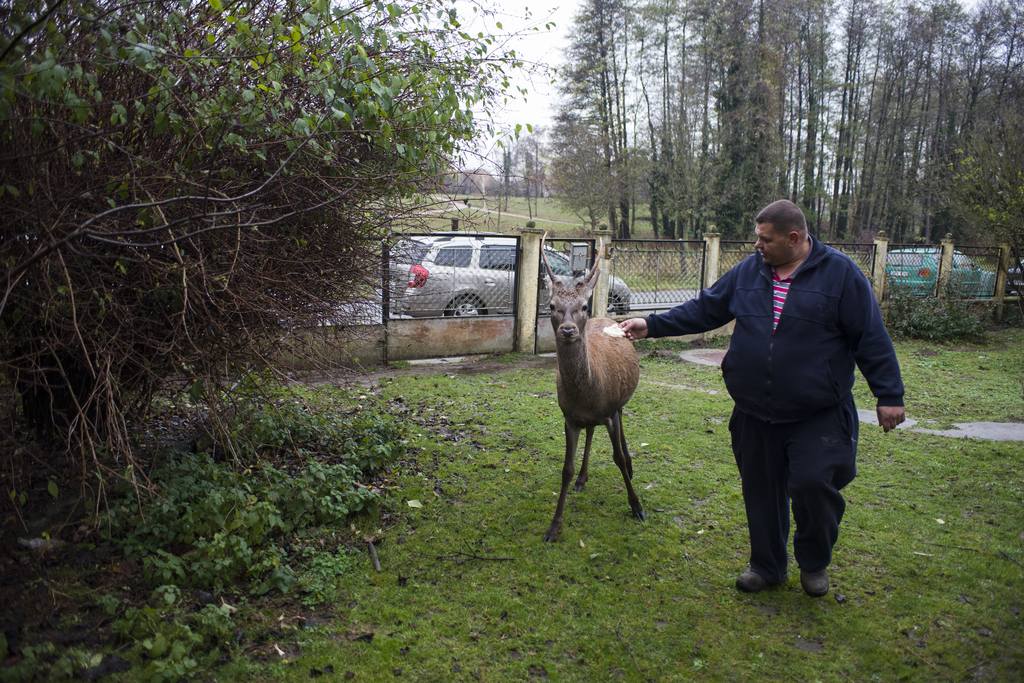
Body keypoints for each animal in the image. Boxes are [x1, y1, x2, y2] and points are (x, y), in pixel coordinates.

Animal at [540, 237, 643, 540]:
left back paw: (630, 464)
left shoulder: (608, 410)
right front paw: (554, 526)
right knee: (591, 432)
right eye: (552, 305)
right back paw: (583, 478)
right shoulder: (569, 418)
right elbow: (566, 469)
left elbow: (616, 457)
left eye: (584, 306)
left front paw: (636, 506)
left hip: (620, 402)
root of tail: (607, 317)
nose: (568, 330)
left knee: (621, 423)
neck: (585, 396)